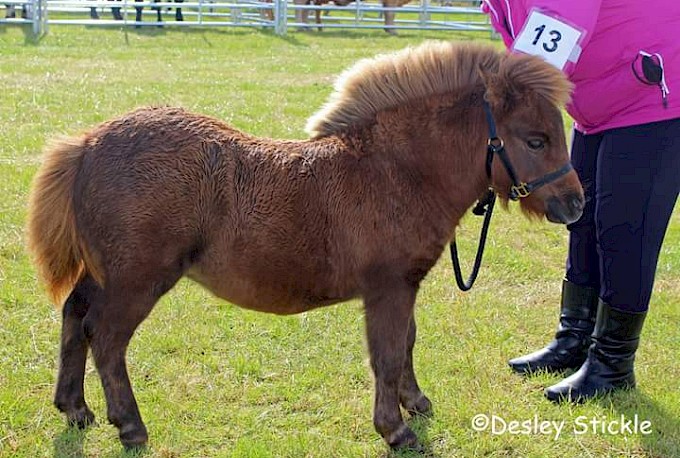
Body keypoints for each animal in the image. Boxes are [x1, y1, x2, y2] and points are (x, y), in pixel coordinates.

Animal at [27, 40, 584, 450]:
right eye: (535, 139)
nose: (576, 204)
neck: (396, 171)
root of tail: (88, 143)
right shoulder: (388, 288)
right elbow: (386, 353)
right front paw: (396, 430)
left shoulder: (406, 286)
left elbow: (407, 342)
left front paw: (416, 402)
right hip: (137, 279)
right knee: (106, 337)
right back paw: (130, 425)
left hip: (104, 272)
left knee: (75, 316)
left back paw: (75, 408)